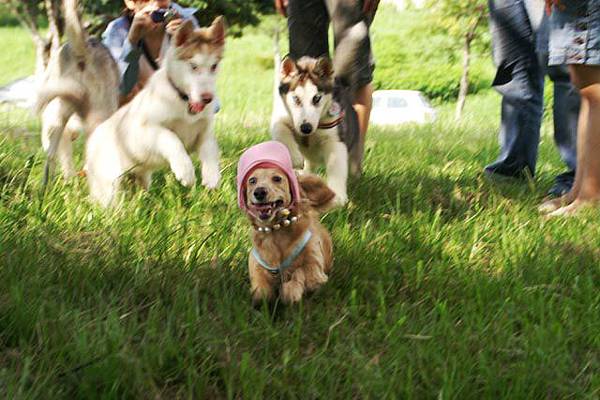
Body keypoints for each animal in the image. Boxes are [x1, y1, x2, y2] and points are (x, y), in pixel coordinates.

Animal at [84, 16, 225, 206]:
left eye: (214, 66)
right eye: (193, 66)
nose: (207, 98)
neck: (183, 101)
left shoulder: (204, 132)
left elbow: (210, 150)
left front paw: (212, 177)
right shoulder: (145, 130)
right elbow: (170, 138)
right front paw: (185, 170)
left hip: (140, 177)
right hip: (109, 184)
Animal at [237, 141, 336, 304]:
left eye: (277, 178)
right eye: (252, 181)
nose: (259, 192)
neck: (276, 232)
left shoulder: (315, 269)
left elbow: (301, 273)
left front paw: (290, 290)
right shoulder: (256, 266)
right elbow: (262, 290)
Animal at [270, 21, 366, 206]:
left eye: (316, 98)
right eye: (296, 99)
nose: (306, 128)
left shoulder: (336, 141)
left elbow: (336, 167)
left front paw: (338, 197)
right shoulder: (280, 117)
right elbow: (281, 129)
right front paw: (295, 156)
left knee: (352, 167)